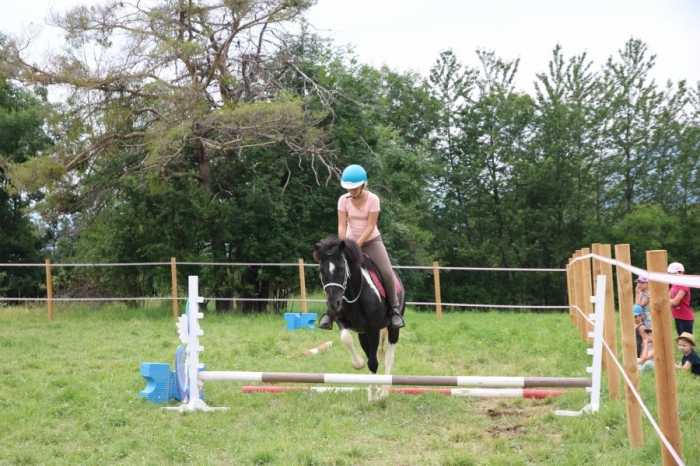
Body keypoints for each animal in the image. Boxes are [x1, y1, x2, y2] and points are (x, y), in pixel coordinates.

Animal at [314, 237, 408, 400]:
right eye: (321, 270)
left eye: (341, 268)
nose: (333, 304)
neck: (354, 293)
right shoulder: (344, 322)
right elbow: (347, 339)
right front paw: (358, 364)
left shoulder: (374, 328)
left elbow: (373, 362)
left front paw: (374, 397)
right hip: (363, 334)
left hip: (392, 327)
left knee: (389, 357)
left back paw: (384, 392)